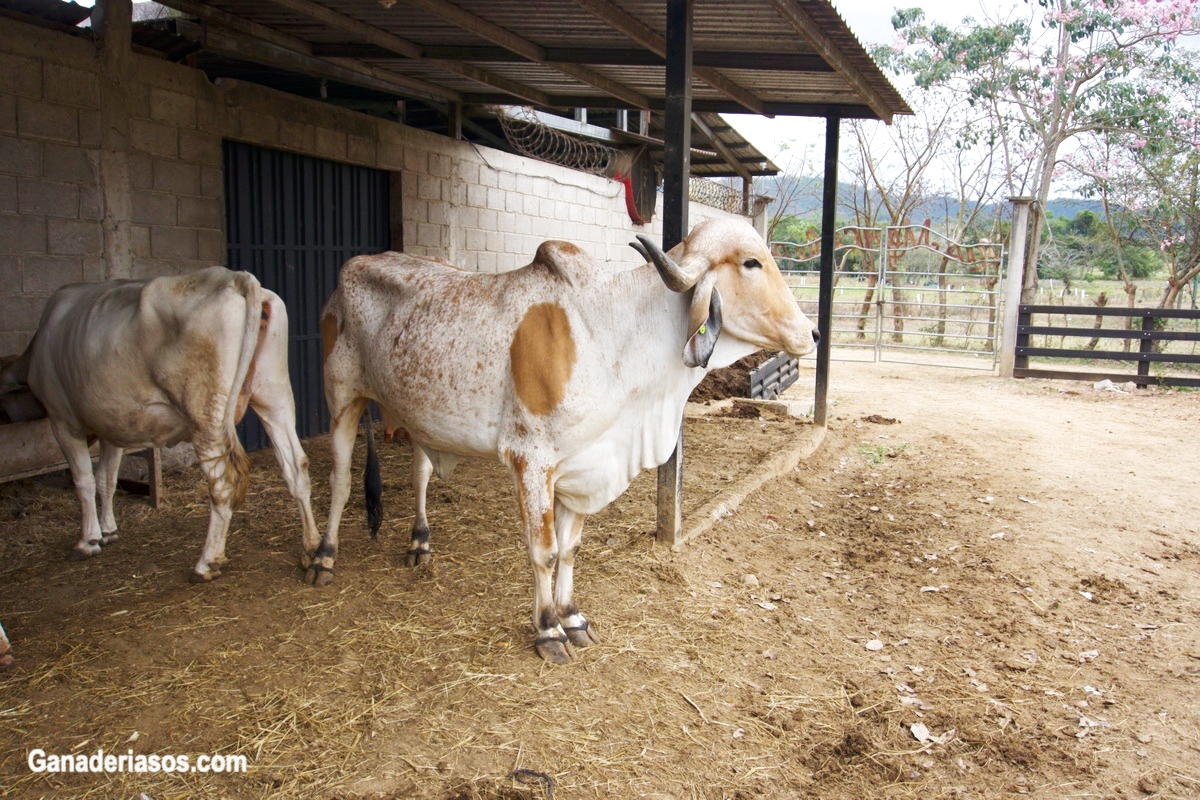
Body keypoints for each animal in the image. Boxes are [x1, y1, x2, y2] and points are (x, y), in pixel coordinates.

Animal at [0, 268, 321, 582]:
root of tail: (236, 277)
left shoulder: (63, 421)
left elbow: (84, 481)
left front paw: (87, 541)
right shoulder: (112, 427)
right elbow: (106, 478)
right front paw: (108, 530)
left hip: (205, 414)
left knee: (223, 482)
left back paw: (207, 562)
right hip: (272, 394)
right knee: (296, 466)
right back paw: (312, 549)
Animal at [312, 215, 816, 662]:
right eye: (751, 263)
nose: (811, 332)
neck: (608, 334)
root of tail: (351, 269)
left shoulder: (585, 462)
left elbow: (571, 548)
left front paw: (572, 617)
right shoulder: (530, 460)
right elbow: (545, 553)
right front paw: (548, 629)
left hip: (416, 413)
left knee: (419, 473)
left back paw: (419, 542)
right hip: (341, 399)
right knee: (340, 481)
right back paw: (322, 557)